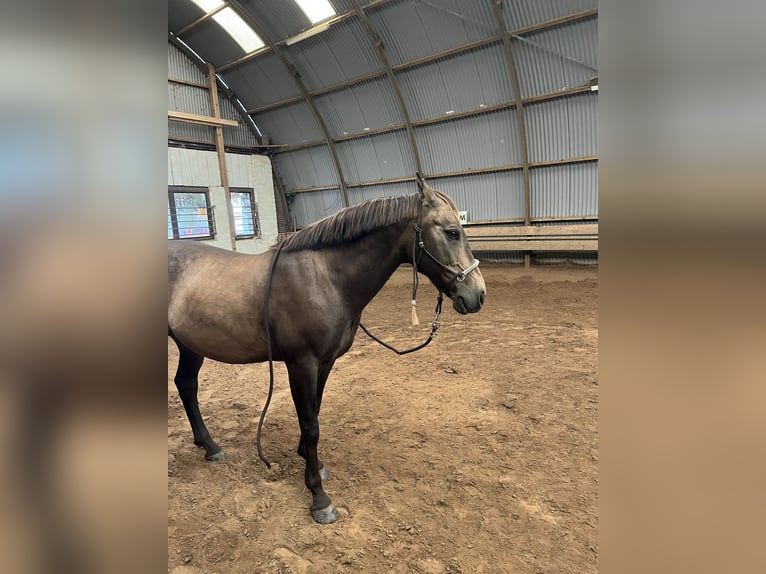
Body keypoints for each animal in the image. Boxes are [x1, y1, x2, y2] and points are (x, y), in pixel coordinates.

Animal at [168, 173, 486, 524]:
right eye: (452, 232)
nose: (477, 295)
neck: (326, 278)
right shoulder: (301, 364)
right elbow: (311, 425)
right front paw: (318, 497)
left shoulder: (325, 363)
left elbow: (315, 413)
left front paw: (314, 464)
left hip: (190, 346)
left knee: (186, 386)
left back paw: (210, 446)